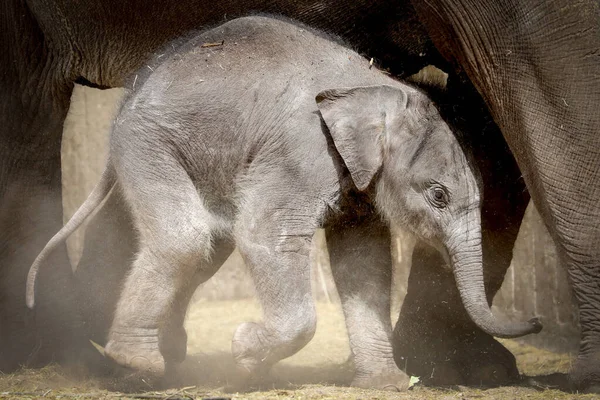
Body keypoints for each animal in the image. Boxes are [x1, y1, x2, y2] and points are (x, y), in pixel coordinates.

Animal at [0, 0, 596, 390]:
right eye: (439, 196)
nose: (538, 322)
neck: (378, 88)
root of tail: (126, 102)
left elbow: (364, 258)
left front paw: (385, 383)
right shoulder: (301, 150)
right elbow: (266, 236)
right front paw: (245, 352)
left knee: (206, 247)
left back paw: (157, 363)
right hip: (150, 143)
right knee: (187, 240)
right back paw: (137, 364)